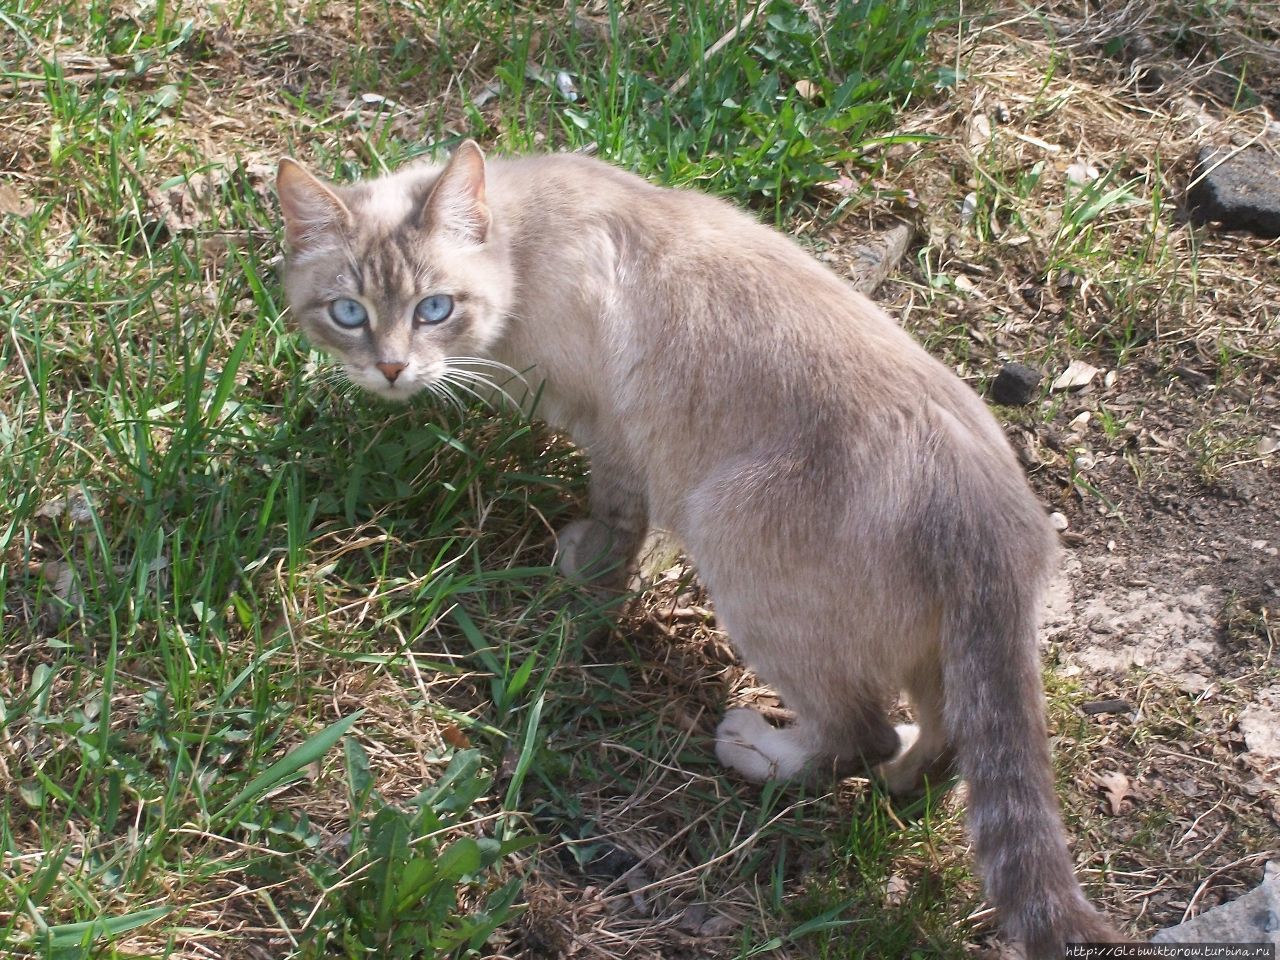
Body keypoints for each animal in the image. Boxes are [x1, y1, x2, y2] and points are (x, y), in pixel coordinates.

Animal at [277, 138, 1121, 957]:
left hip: (730, 539)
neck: (522, 243)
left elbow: (618, 521)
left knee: (858, 731)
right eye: (348, 313)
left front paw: (586, 574)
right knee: (945, 743)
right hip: (937, 652)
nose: (390, 370)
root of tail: (995, 517)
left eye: (435, 309)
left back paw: (760, 753)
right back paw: (900, 777)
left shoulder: (616, 435)